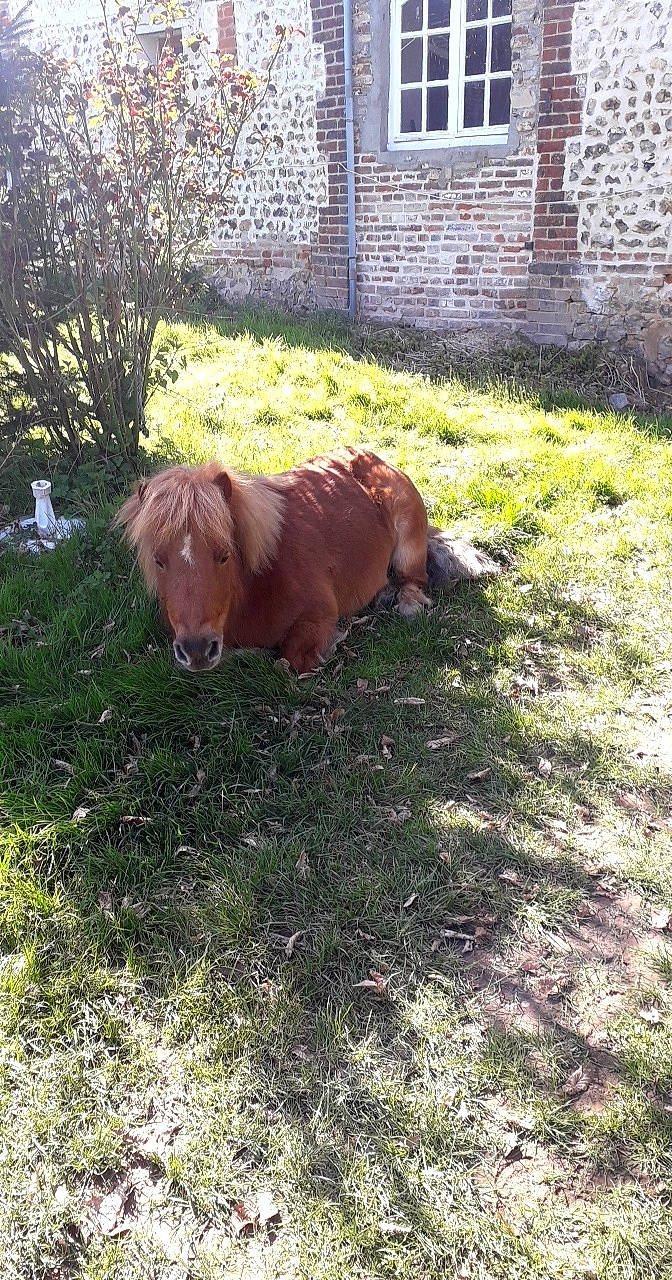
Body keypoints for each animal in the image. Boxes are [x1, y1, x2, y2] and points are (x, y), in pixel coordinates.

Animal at [115, 446, 499, 674]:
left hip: (408, 539)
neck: (261, 581)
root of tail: (376, 458)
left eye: (223, 555)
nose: (196, 651)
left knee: (413, 579)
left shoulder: (318, 618)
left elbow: (286, 661)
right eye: (159, 561)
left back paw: (404, 602)